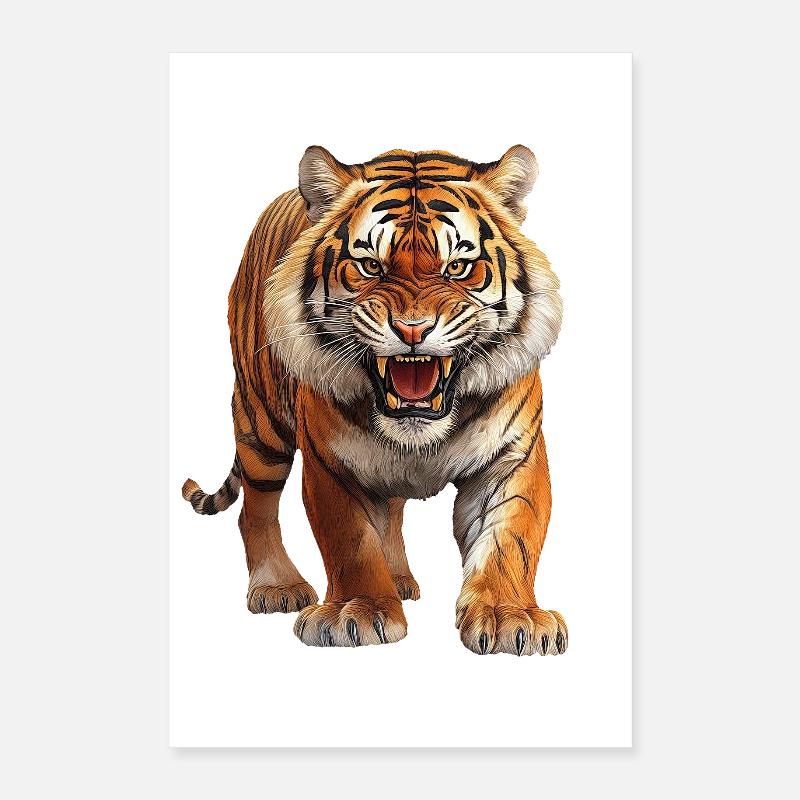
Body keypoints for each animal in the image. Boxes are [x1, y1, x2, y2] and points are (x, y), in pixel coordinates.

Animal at [182, 145, 567, 655]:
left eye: (457, 268)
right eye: (370, 267)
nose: (412, 330)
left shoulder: (513, 456)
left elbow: (511, 538)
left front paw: (511, 617)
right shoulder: (330, 462)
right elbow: (350, 540)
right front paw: (357, 612)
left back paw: (400, 579)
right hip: (261, 423)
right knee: (255, 508)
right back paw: (276, 586)